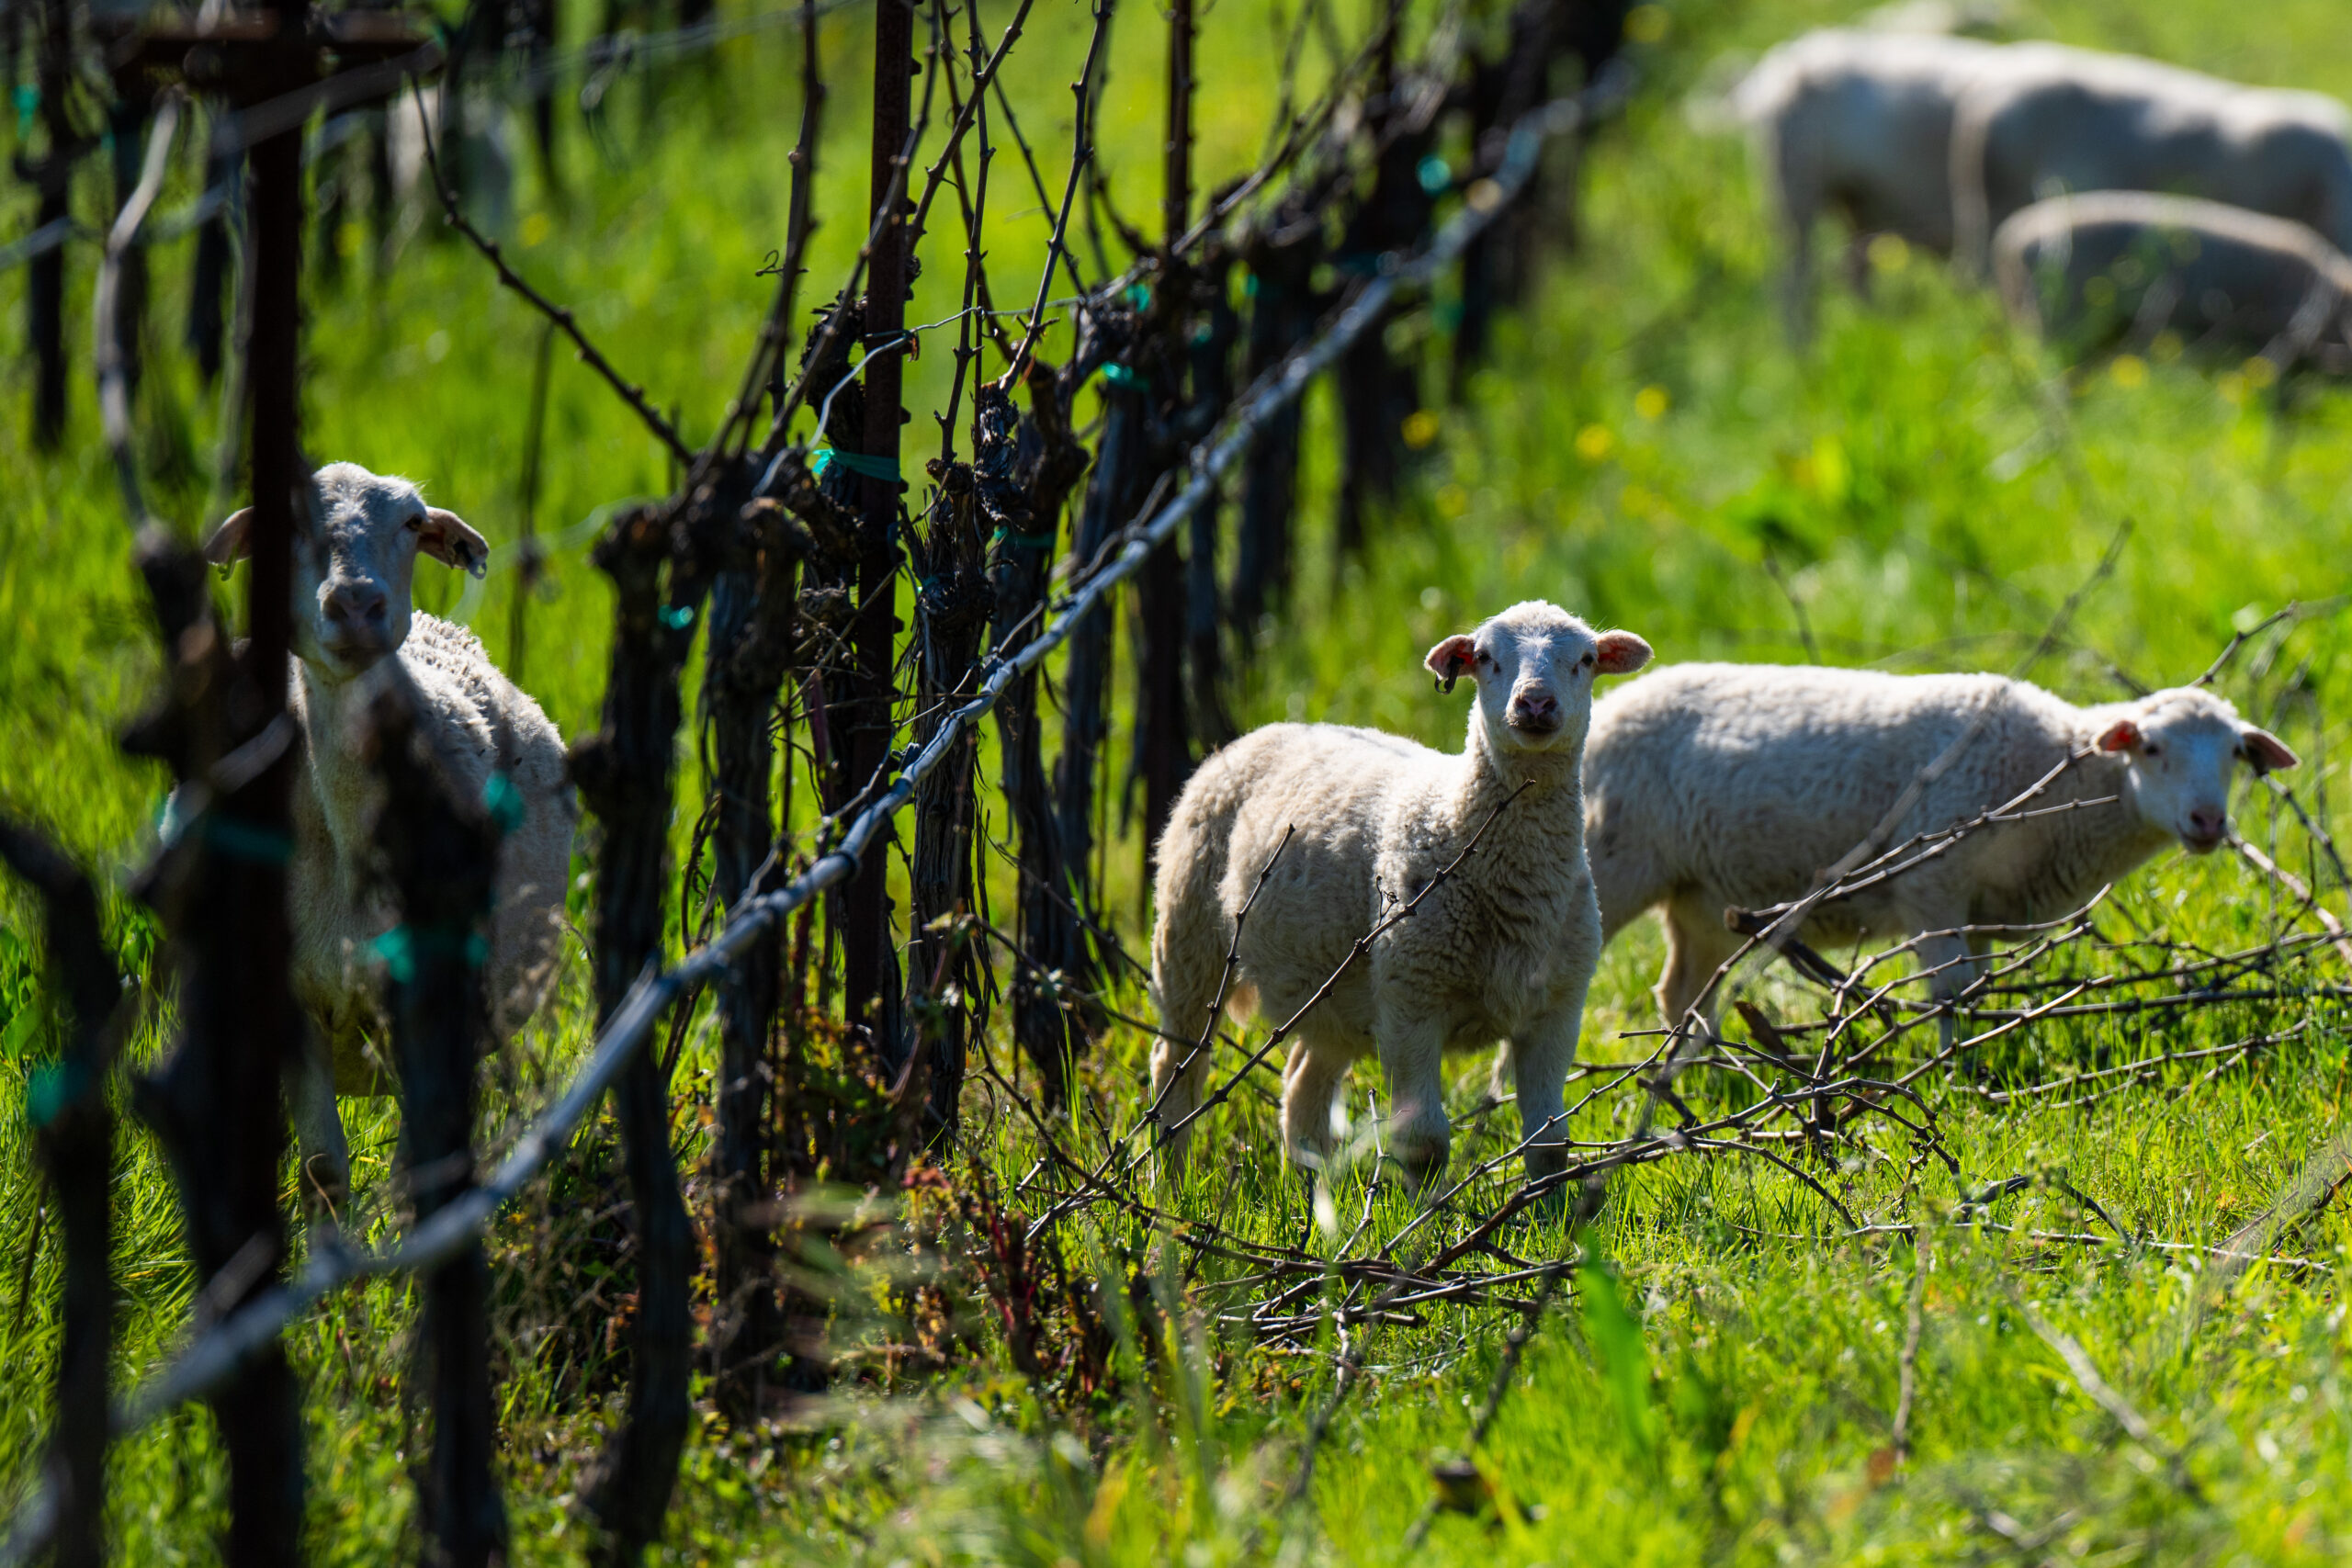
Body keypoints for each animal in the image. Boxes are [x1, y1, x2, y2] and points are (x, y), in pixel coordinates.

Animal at [201, 463, 574, 1209]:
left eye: (411, 522)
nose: (355, 603)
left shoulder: (435, 999)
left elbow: (414, 1174)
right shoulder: (292, 1001)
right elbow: (323, 1171)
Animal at [1147, 603, 1652, 1191]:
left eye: (1587, 660)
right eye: (1484, 656)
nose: (1535, 703)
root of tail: (1261, 732)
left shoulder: (1557, 1008)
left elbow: (1549, 1146)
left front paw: (1548, 1209)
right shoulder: (1412, 999)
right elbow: (1426, 1142)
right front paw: (1426, 1216)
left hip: (1333, 990)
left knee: (1302, 1080)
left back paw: (1308, 1187)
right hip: (1187, 930)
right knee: (1176, 1062)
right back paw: (1169, 1181)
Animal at [1580, 663, 2297, 1034]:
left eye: (2236, 754)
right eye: (2150, 748)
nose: (2208, 820)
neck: (2052, 774)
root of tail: (1613, 703)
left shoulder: (1980, 903)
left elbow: (1974, 988)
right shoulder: (1933, 882)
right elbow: (1947, 991)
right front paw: (1954, 1075)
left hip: (1705, 895)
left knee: (1680, 990)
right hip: (1614, 860)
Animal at [1727, 28, 2008, 339]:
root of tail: (1787, 59)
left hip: (1854, 201)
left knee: (1851, 269)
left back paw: (1870, 326)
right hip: (1794, 189)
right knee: (1794, 281)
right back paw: (1804, 346)